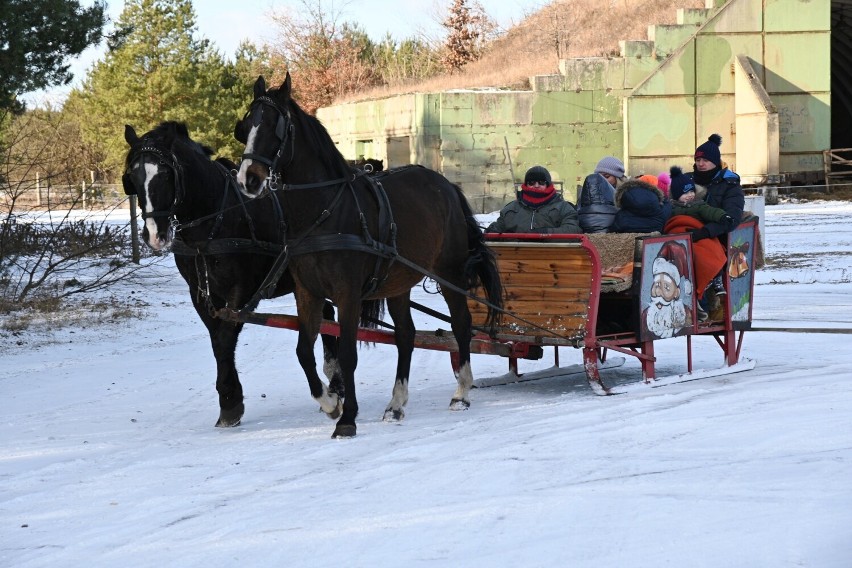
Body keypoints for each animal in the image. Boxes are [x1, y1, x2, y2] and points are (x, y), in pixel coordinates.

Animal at [230, 74, 502, 440]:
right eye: (245, 127)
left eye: (276, 127)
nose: (248, 179)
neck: (325, 212)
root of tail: (446, 186)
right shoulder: (308, 292)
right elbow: (303, 351)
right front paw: (331, 403)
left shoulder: (348, 294)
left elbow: (347, 353)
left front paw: (347, 418)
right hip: (399, 282)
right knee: (406, 335)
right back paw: (396, 403)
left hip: (450, 274)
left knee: (461, 324)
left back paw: (462, 392)